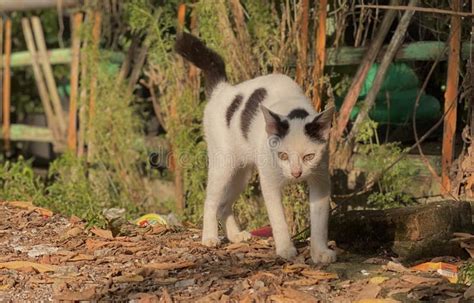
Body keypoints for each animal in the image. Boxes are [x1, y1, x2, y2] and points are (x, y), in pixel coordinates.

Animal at [176, 32, 336, 264]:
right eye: (283, 155)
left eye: (309, 156)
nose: (296, 173)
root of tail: (223, 89)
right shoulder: (269, 182)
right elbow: (278, 220)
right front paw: (285, 249)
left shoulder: (320, 179)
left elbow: (319, 221)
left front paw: (320, 252)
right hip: (223, 166)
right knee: (212, 201)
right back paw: (210, 237)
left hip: (241, 173)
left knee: (224, 204)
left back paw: (235, 235)